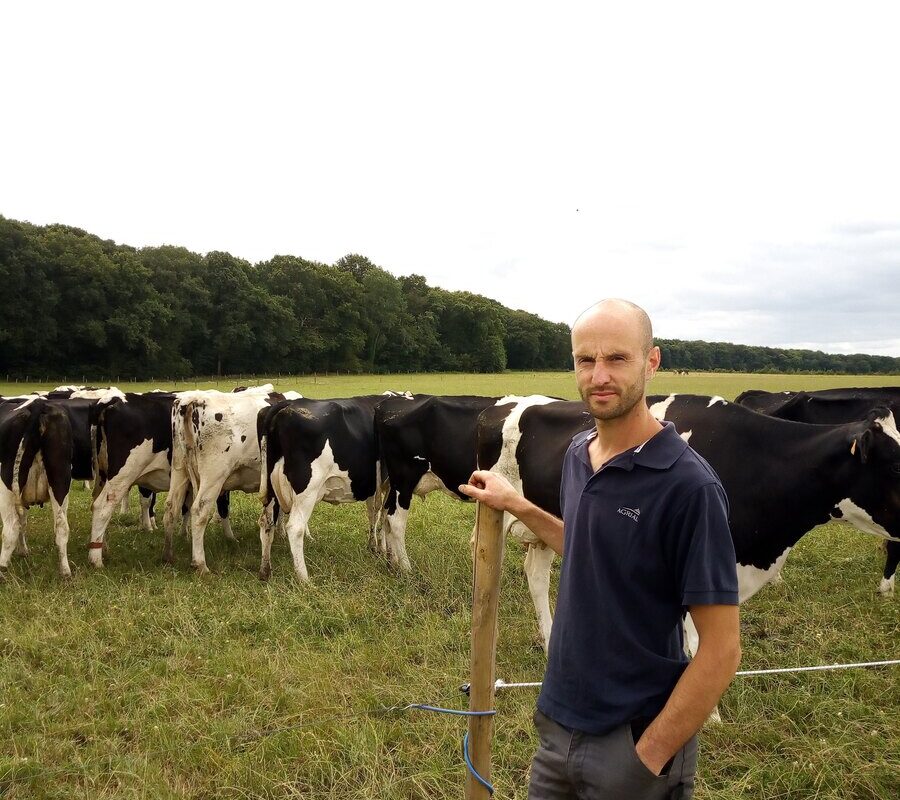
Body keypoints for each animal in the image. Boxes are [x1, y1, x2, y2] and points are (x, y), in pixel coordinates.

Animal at [0, 396, 73, 580]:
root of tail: (38, 404)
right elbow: (23, 521)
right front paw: (23, 551)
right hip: (60, 479)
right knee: (61, 526)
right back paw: (65, 571)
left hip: (6, 486)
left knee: (11, 527)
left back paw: (2, 568)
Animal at [258, 394, 402, 580]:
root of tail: (287, 404)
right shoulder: (391, 483)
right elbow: (385, 516)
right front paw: (388, 555)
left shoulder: (374, 485)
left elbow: (374, 513)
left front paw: (374, 547)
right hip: (307, 489)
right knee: (295, 527)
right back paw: (304, 579)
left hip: (271, 488)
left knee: (266, 522)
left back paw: (265, 570)